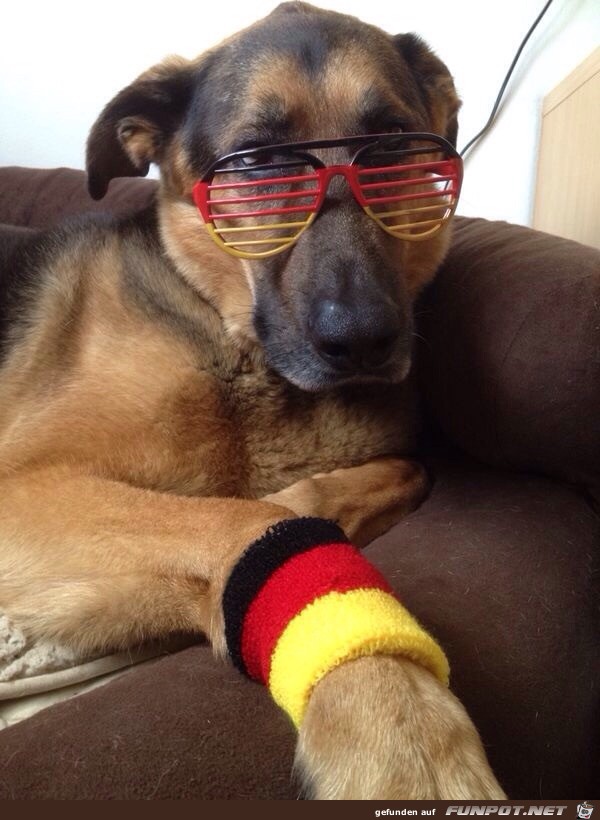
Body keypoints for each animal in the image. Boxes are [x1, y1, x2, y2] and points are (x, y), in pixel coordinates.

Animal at [0, 2, 505, 799]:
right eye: (257, 163)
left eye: (393, 146)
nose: (365, 340)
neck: (235, 345)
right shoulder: (24, 486)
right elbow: (253, 522)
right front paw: (400, 725)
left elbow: (369, 481)